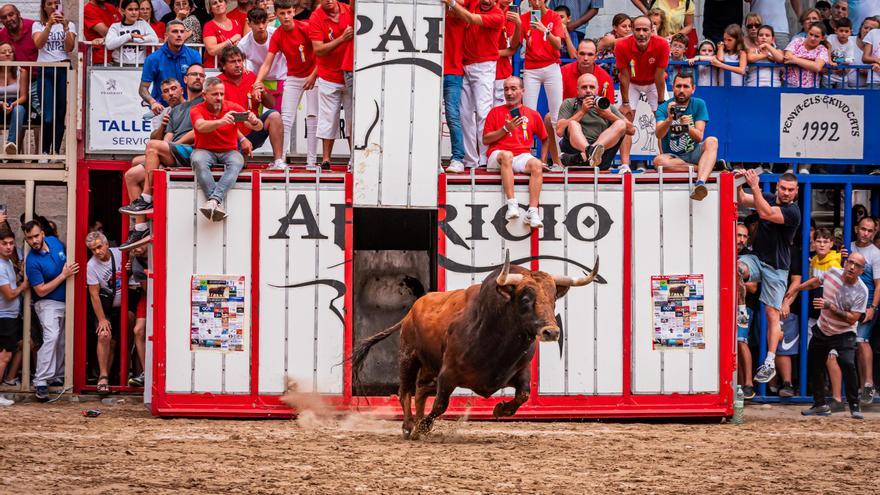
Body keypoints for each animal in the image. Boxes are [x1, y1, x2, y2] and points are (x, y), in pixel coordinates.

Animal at [350, 252, 600, 438]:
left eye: (553, 298)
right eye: (525, 298)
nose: (552, 331)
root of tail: (412, 310)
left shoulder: (521, 371)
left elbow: (523, 395)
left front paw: (500, 408)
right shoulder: (447, 374)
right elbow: (440, 404)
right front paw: (423, 426)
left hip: (429, 368)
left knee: (420, 390)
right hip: (408, 356)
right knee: (406, 391)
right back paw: (410, 426)